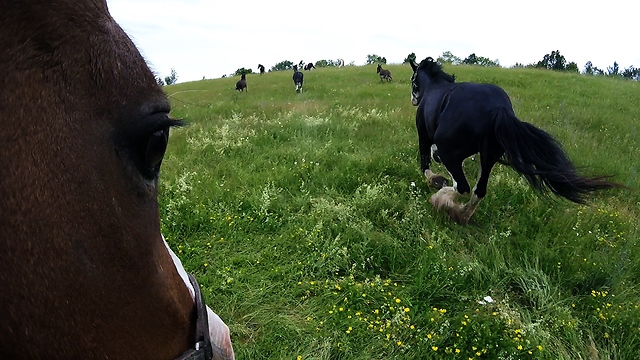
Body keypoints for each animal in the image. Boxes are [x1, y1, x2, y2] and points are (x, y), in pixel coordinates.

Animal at [408, 57, 624, 224]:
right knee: (479, 191)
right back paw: (461, 215)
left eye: (412, 80)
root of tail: (499, 108)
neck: (434, 86)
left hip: (452, 153)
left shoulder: (424, 135)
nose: (413, 100)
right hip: (488, 157)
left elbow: (425, 162)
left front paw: (435, 180)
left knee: (463, 187)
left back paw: (440, 201)